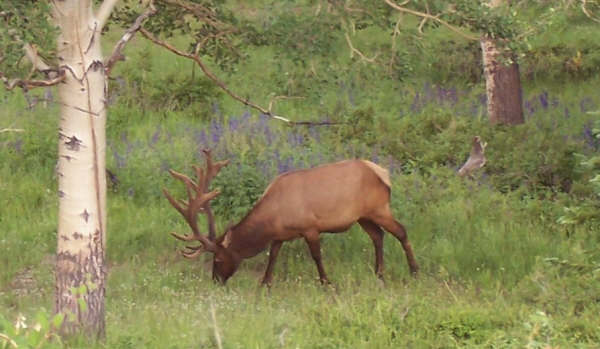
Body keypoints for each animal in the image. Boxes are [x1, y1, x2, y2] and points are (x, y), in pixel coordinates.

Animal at [163, 149, 418, 282]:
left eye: (217, 259)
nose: (216, 280)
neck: (274, 217)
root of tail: (383, 173)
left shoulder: (310, 227)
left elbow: (316, 256)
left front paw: (326, 283)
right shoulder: (280, 236)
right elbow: (272, 256)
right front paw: (264, 285)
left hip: (379, 208)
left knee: (402, 231)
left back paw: (414, 271)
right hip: (363, 216)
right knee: (378, 236)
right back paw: (378, 273)